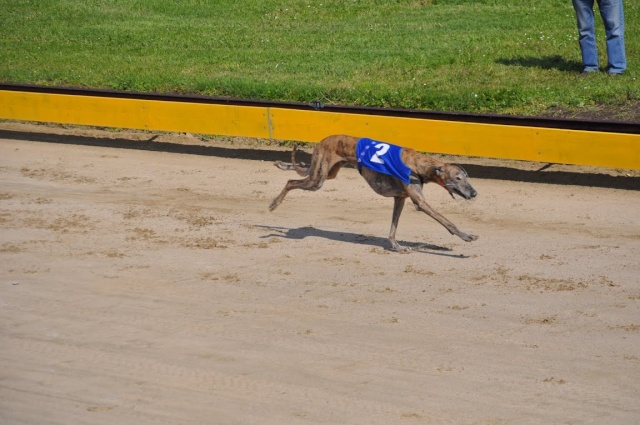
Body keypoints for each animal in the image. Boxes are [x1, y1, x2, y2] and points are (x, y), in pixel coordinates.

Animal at [268, 134, 478, 250]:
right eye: (458, 178)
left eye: (467, 177)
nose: (474, 193)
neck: (418, 164)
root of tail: (322, 140)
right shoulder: (420, 203)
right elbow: (446, 221)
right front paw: (466, 235)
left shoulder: (400, 198)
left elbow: (393, 227)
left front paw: (396, 246)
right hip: (317, 181)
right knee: (291, 181)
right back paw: (273, 204)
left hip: (328, 173)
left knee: (299, 172)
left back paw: (282, 166)